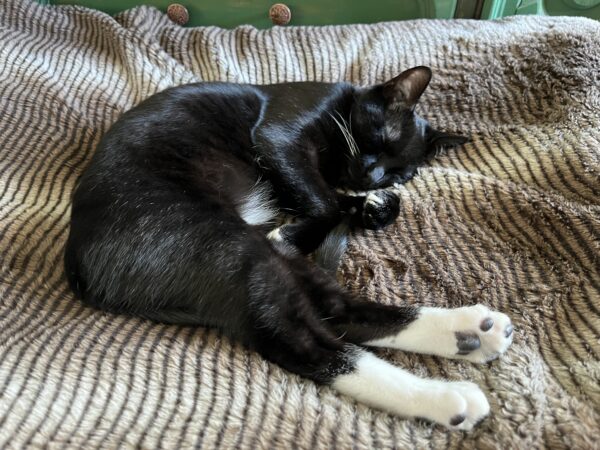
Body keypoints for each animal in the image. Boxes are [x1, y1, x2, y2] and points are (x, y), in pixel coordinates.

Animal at [65, 66, 516, 428]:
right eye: (381, 137)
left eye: (402, 172)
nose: (372, 176)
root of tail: (80, 270)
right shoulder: (280, 138)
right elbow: (326, 202)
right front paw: (320, 218)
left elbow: (348, 203)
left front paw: (375, 206)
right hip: (224, 245)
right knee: (306, 343)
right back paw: (446, 397)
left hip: (246, 252)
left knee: (336, 310)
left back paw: (468, 332)